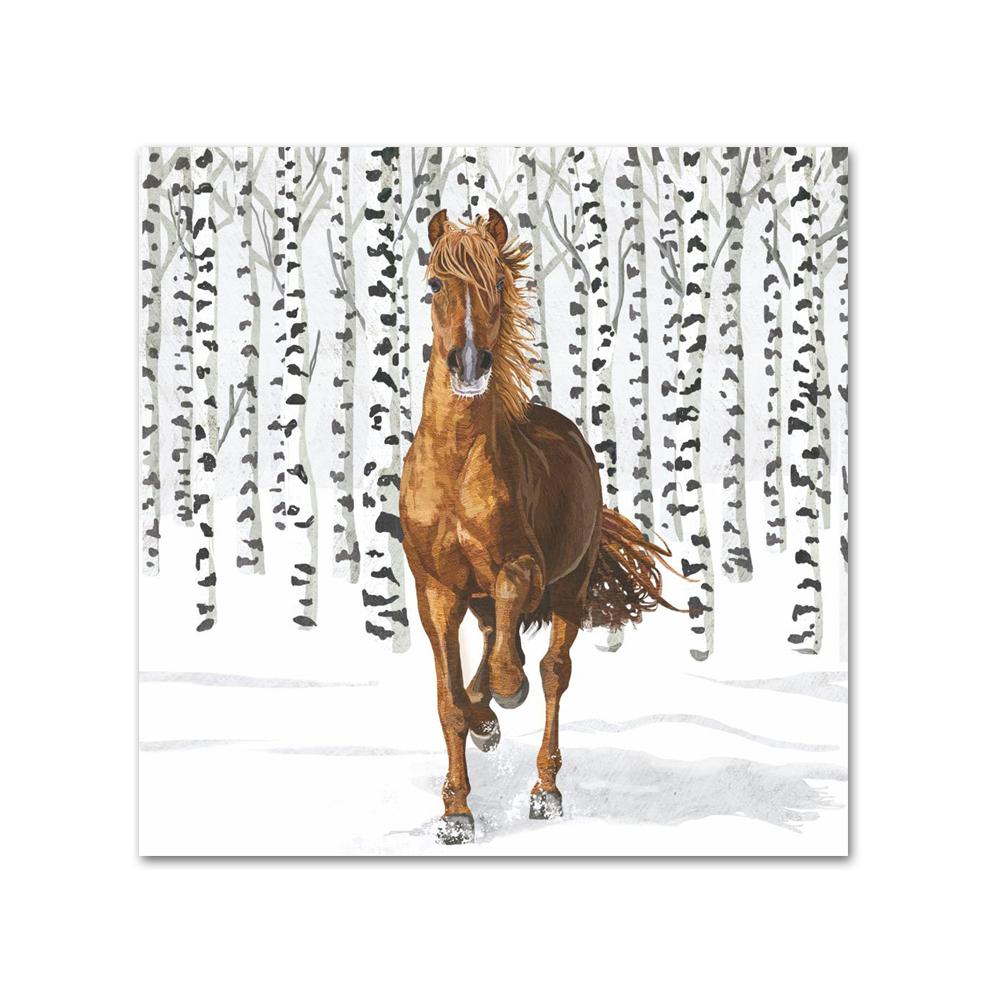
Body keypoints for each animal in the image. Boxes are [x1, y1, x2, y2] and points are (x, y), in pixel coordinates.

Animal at [399, 208, 685, 845]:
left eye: (499, 285)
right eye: (434, 284)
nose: (471, 365)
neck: (457, 465)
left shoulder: (521, 567)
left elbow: (512, 663)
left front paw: (505, 700)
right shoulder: (436, 591)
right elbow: (448, 701)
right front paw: (456, 813)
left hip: (570, 589)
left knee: (554, 671)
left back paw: (545, 790)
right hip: (478, 600)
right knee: (487, 643)